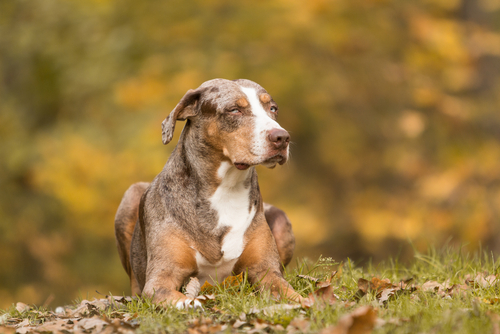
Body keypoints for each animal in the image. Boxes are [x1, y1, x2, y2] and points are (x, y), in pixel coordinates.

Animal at [114, 78, 300, 308]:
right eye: (234, 110)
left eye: (272, 108)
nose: (282, 137)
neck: (226, 190)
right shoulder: (161, 279)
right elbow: (180, 299)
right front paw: (191, 304)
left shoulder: (267, 271)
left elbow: (294, 293)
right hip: (131, 197)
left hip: (281, 220)